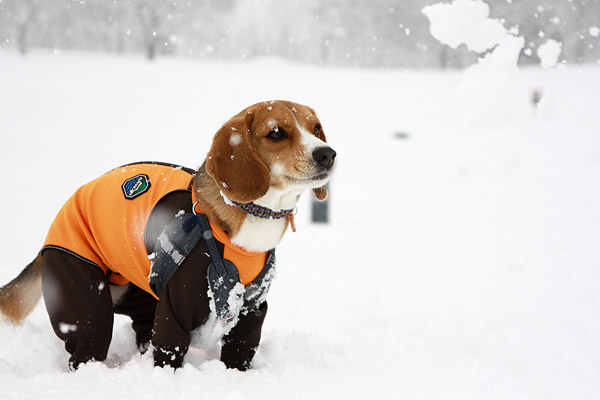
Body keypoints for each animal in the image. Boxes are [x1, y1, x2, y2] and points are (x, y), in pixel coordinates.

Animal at [0, 101, 336, 370]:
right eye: (276, 133)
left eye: (316, 128)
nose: (328, 154)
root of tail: (47, 241)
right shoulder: (175, 307)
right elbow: (169, 351)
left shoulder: (251, 312)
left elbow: (239, 353)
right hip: (83, 298)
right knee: (88, 346)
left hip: (142, 297)